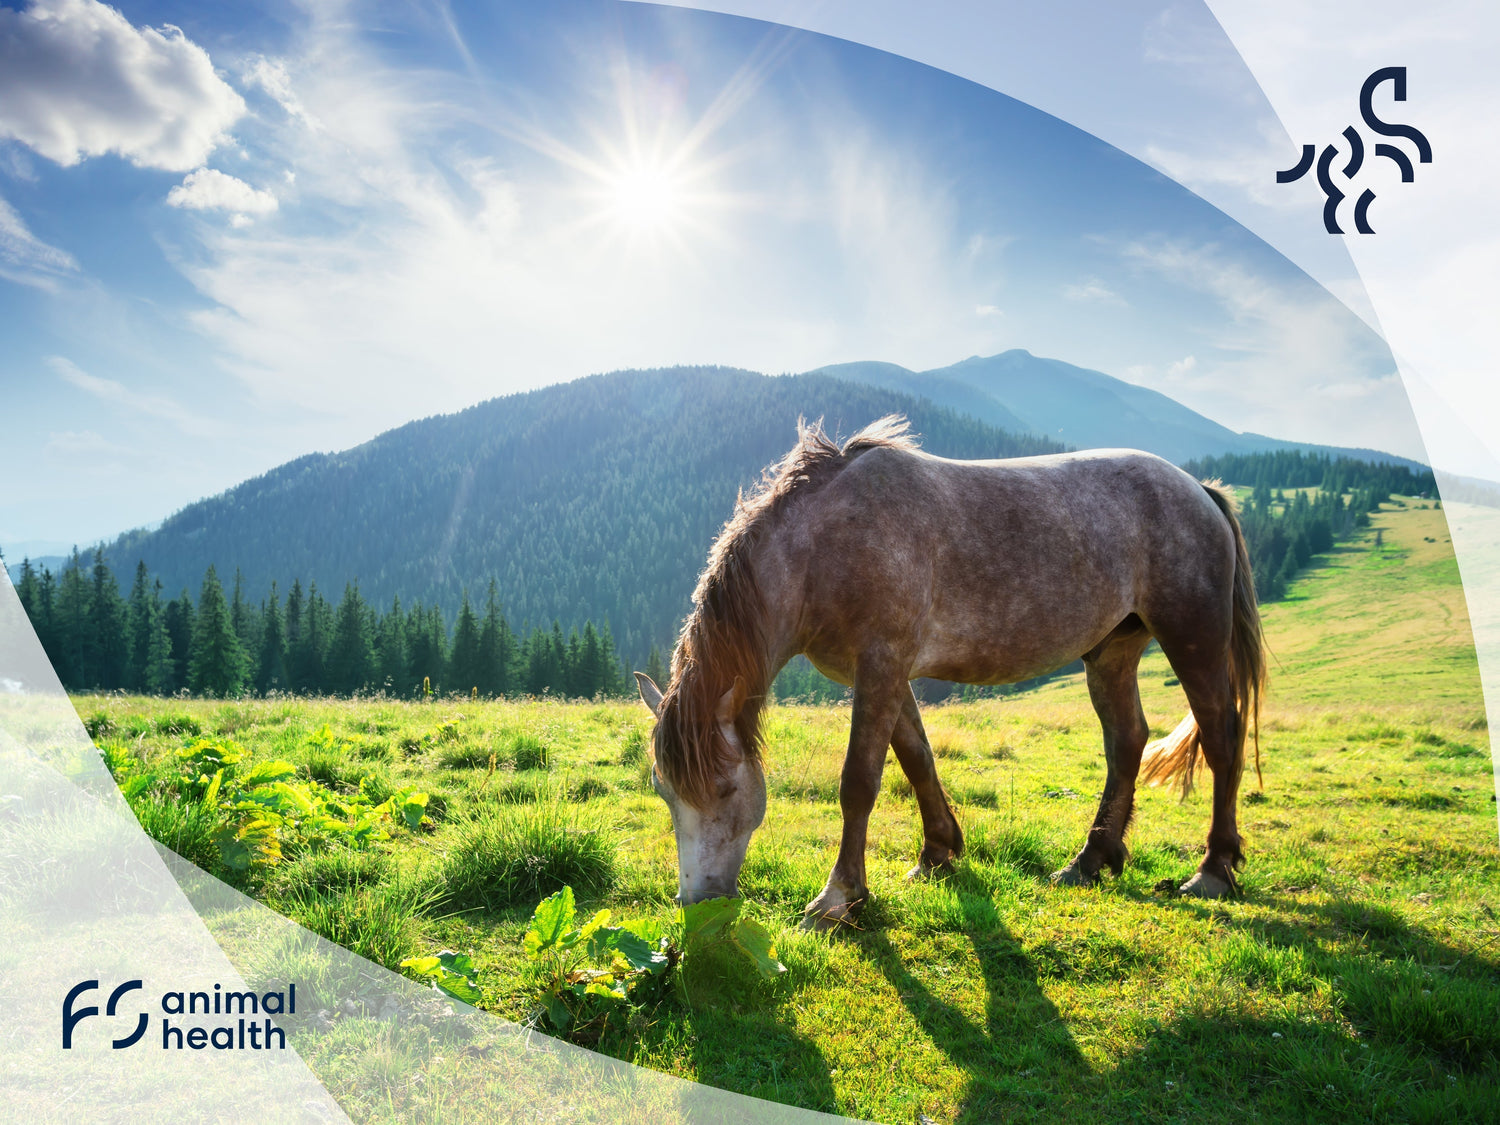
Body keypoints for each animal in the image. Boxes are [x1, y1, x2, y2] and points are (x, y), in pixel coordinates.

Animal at [634, 416, 1265, 928]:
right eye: (664, 791)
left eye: (723, 789)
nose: (699, 904)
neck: (828, 543)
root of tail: (1200, 491)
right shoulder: (883, 674)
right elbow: (916, 758)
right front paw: (937, 853)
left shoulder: (882, 664)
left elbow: (859, 782)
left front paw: (838, 898)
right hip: (1112, 651)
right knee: (1127, 741)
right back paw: (1089, 861)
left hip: (1194, 639)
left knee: (1221, 738)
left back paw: (1213, 869)